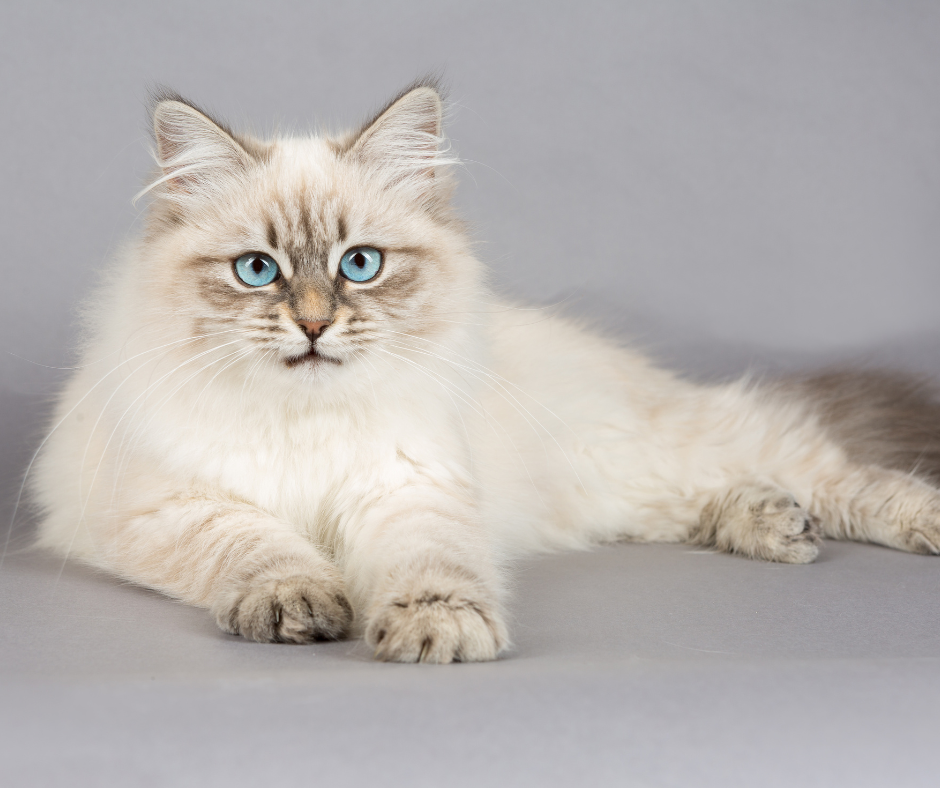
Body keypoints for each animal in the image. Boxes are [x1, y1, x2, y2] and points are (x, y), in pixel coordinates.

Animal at [27, 80, 940, 660]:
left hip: (653, 445)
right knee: (704, 498)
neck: (310, 421)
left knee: (823, 464)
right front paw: (301, 604)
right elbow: (261, 547)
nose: (316, 324)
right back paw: (774, 525)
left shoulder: (408, 487)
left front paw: (438, 631)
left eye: (360, 265)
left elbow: (432, 567)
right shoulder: (178, 505)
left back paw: (898, 521)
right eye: (258, 271)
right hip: (616, 491)